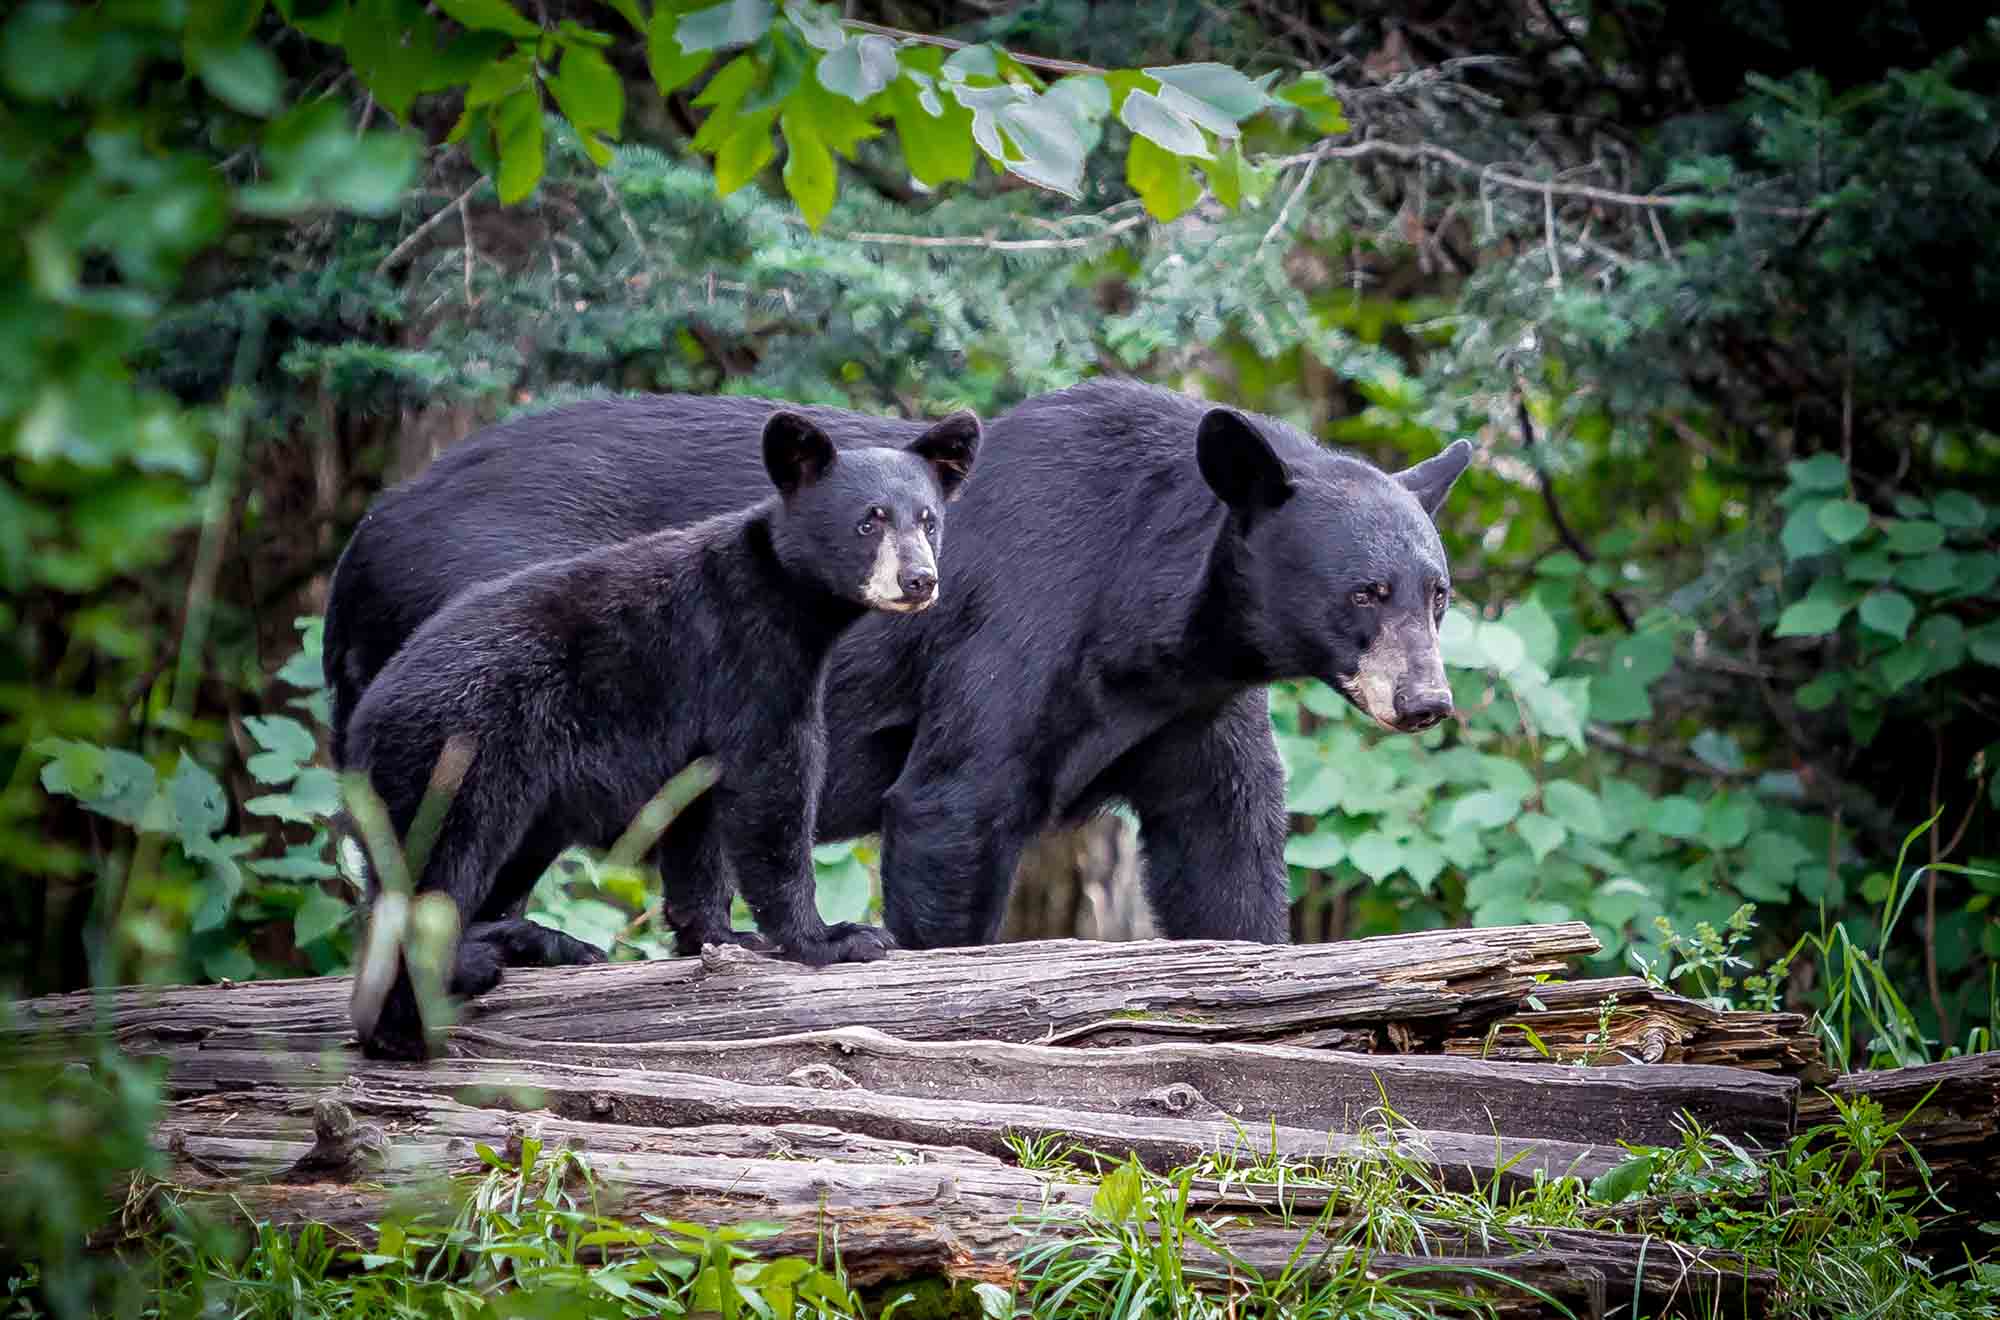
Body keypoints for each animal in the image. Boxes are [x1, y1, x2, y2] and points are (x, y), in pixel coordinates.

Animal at [324, 380, 1471, 957]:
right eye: (1363, 593)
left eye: (1436, 592)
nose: (1426, 701)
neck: (1148, 614)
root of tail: (359, 543)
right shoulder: (1020, 620)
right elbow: (951, 807)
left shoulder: (1190, 702)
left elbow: (1225, 842)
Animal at [341, 408, 980, 1060]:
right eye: (868, 520)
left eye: (928, 520)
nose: (920, 580)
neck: (787, 599)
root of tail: (365, 713)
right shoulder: (745, 657)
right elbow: (773, 785)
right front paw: (833, 938)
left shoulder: (697, 721)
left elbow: (696, 816)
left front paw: (722, 937)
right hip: (453, 754)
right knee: (432, 874)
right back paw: (411, 1024)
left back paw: (527, 945)